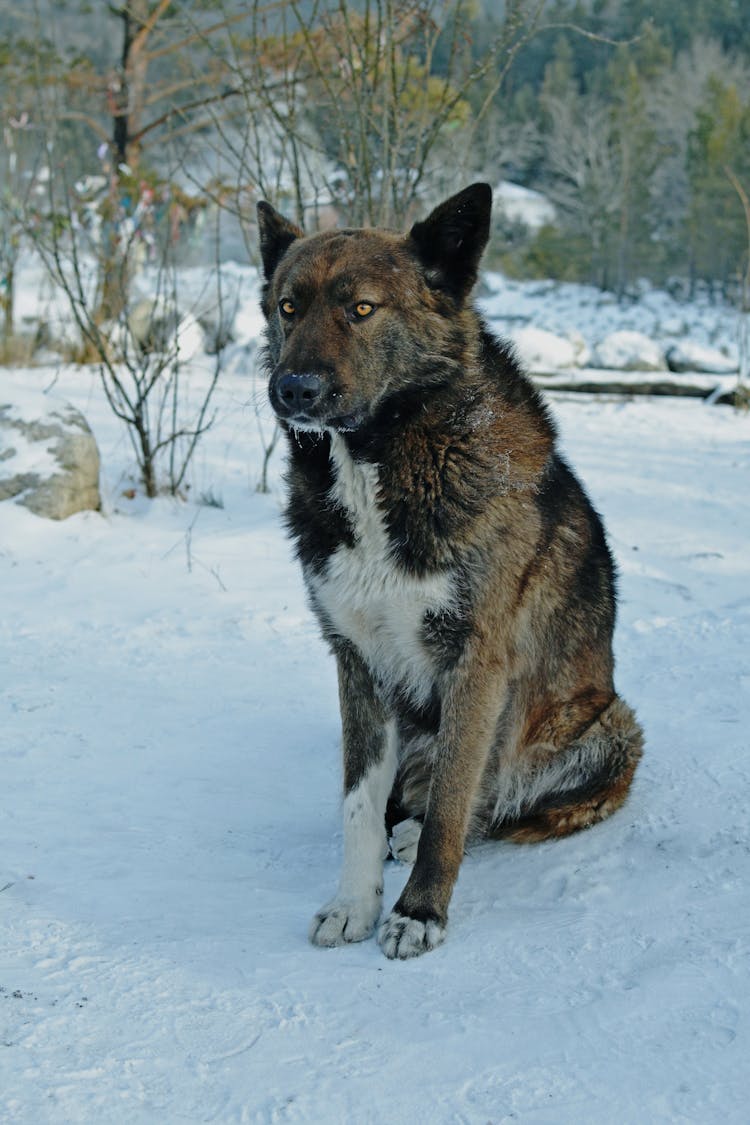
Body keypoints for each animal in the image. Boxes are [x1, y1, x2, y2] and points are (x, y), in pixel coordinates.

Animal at [255, 182, 643, 958]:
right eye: (288, 307)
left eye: (361, 308)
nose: (294, 390)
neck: (378, 459)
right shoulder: (355, 661)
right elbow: (357, 804)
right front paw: (354, 902)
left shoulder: (477, 663)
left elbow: (452, 807)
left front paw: (418, 912)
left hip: (611, 728)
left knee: (495, 805)